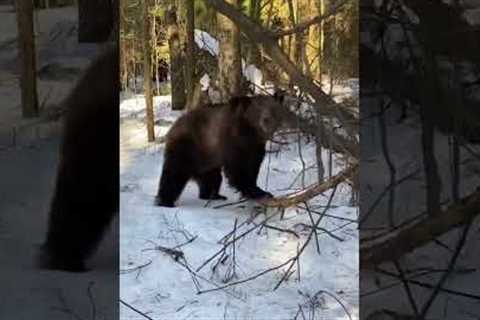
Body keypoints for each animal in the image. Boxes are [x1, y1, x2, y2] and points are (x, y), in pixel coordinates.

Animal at [156, 93, 284, 208]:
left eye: (273, 109)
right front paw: (256, 192)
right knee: (174, 174)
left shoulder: (255, 147)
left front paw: (261, 191)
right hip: (189, 147)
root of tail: (174, 126)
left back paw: (213, 195)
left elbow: (253, 166)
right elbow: (238, 168)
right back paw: (165, 201)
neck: (251, 133)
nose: (266, 120)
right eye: (257, 109)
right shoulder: (233, 141)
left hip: (207, 160)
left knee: (212, 179)